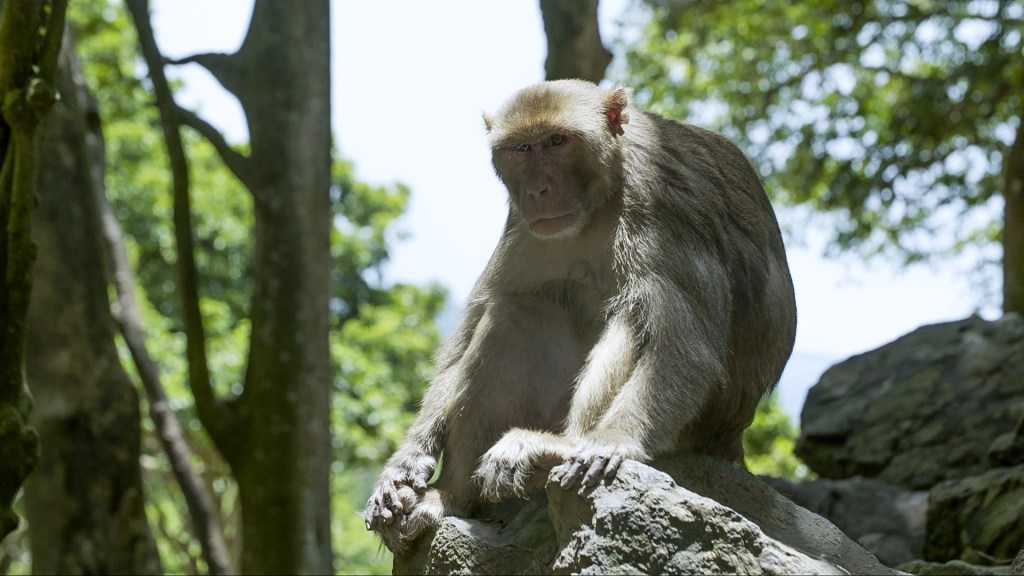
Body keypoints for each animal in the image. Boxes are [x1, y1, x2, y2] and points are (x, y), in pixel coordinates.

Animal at [364, 78, 794, 549]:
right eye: (521, 148)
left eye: (557, 141)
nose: (538, 190)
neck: (602, 196)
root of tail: (734, 434)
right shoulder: (521, 221)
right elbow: (472, 327)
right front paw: (405, 463)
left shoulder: (661, 201)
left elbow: (684, 344)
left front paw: (613, 440)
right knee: (516, 313)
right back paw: (453, 496)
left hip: (697, 428)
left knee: (638, 315)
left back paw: (563, 447)